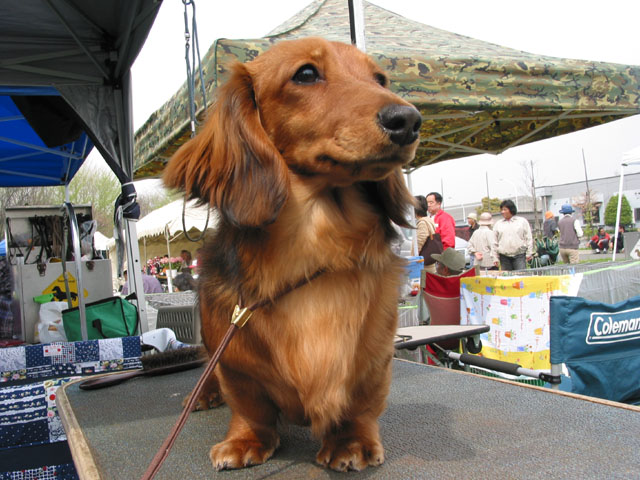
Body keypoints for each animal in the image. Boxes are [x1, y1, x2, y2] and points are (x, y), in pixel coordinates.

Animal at [163, 37, 421, 472]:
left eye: (380, 78)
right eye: (306, 74)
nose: (409, 120)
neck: (315, 246)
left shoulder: (372, 359)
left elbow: (361, 403)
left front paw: (350, 440)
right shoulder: (235, 361)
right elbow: (249, 407)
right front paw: (246, 439)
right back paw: (204, 395)